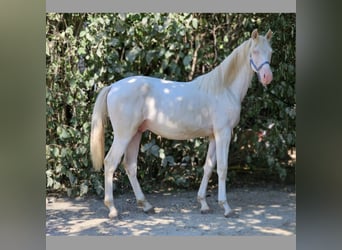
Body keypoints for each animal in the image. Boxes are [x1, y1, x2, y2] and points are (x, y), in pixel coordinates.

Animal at [90, 28, 272, 218]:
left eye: (271, 52)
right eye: (255, 51)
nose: (267, 77)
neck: (224, 89)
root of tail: (113, 87)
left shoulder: (214, 136)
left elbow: (208, 167)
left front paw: (203, 204)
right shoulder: (224, 133)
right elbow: (222, 168)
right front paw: (226, 207)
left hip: (136, 133)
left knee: (130, 166)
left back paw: (146, 205)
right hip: (124, 135)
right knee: (110, 163)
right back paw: (112, 208)